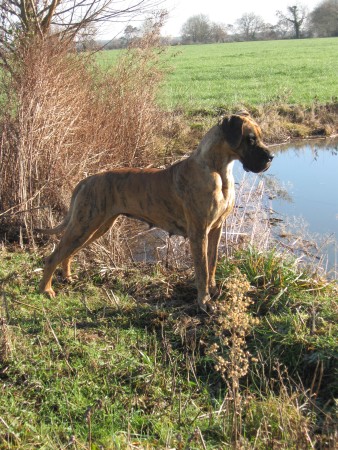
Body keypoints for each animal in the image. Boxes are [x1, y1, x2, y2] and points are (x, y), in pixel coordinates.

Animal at [38, 112, 274, 310]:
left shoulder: (216, 229)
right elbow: (202, 269)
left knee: (68, 253)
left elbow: (213, 263)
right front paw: (204, 302)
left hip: (96, 227)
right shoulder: (199, 233)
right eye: (250, 139)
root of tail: (87, 180)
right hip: (84, 225)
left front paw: (214, 291)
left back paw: (67, 277)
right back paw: (46, 289)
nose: (271, 157)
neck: (219, 170)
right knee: (53, 256)